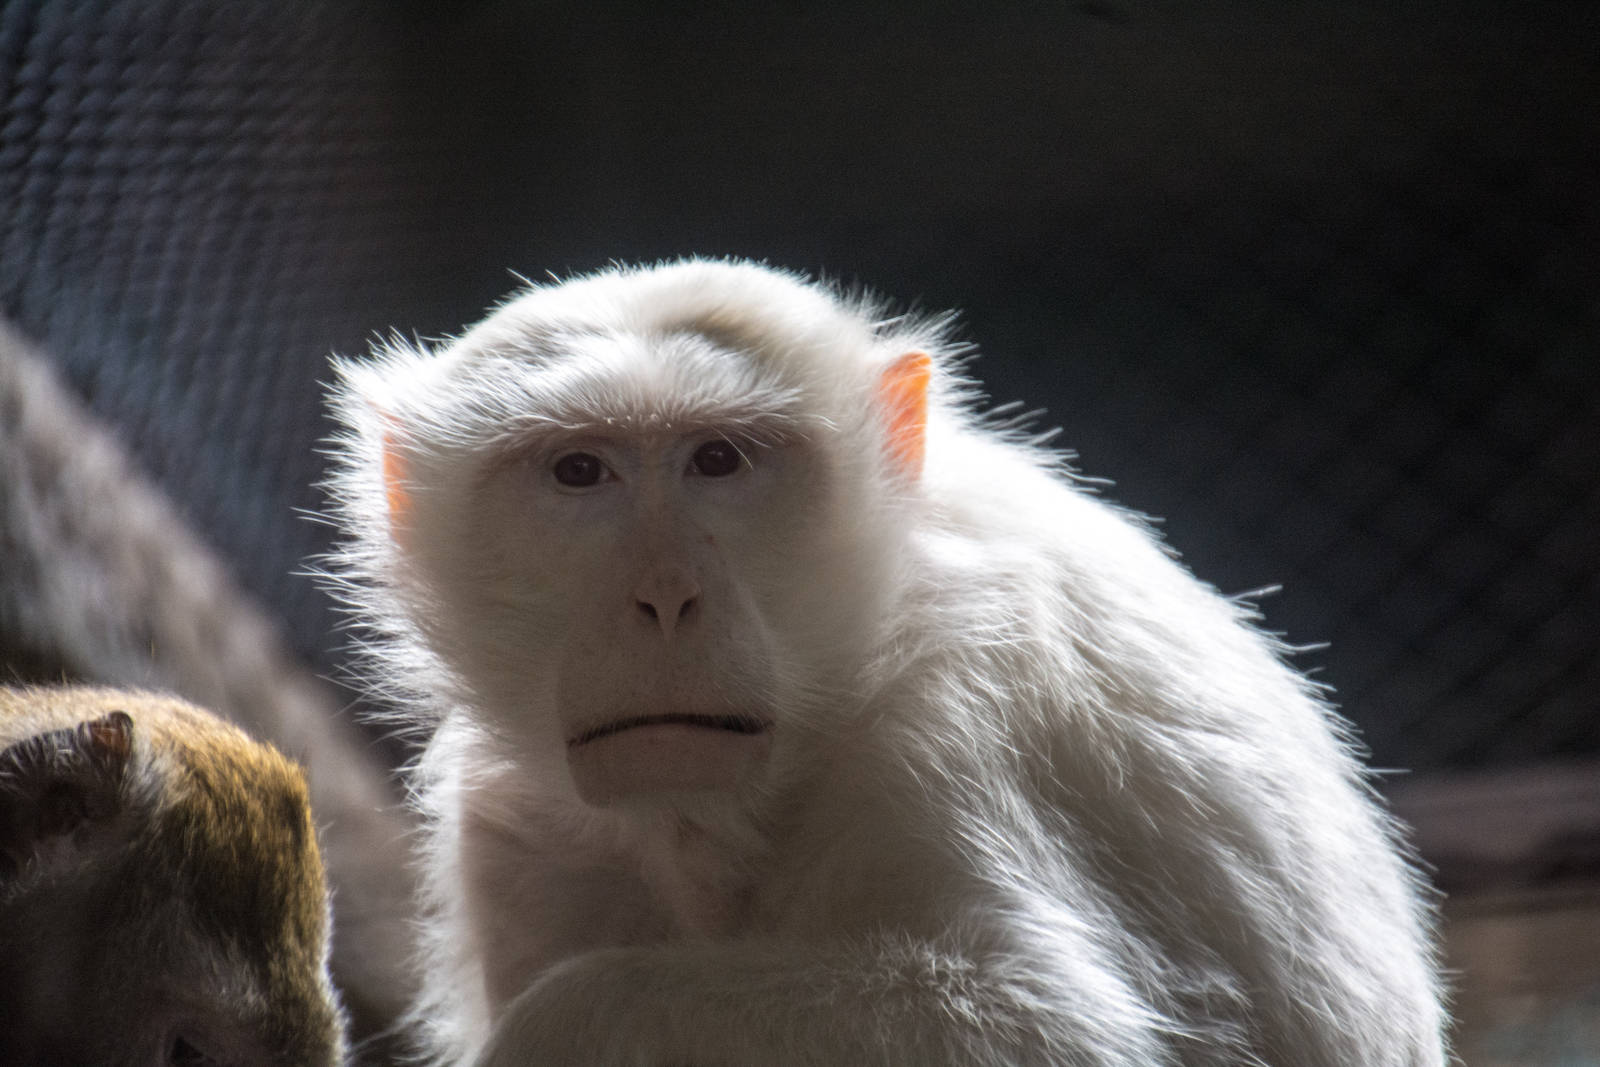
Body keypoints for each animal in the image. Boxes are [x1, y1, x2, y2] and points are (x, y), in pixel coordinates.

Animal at [324, 259, 1448, 1065]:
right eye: (578, 473)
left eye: (718, 461)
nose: (665, 600)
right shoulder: (508, 823)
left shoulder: (950, 702)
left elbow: (1051, 1025)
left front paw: (575, 1022)